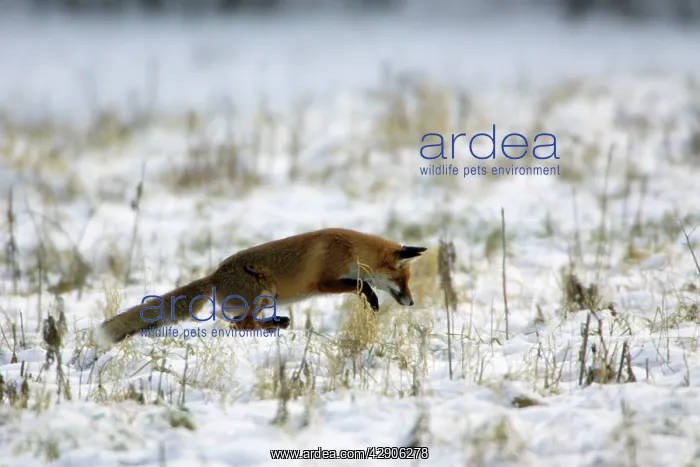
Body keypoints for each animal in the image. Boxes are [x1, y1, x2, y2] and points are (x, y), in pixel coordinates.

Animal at [98, 228, 427, 346]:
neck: (351, 249)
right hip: (264, 291)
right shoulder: (324, 282)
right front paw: (372, 301)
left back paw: (277, 323)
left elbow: (361, 283)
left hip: (265, 299)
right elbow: (361, 285)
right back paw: (273, 325)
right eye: (403, 280)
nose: (411, 302)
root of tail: (214, 275)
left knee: (241, 323)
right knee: (241, 326)